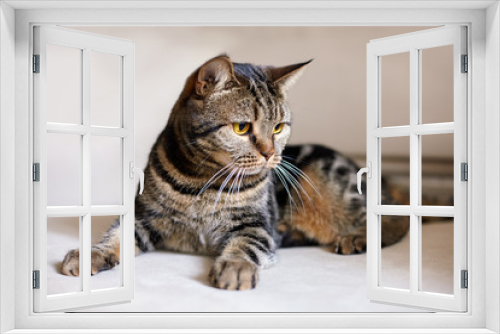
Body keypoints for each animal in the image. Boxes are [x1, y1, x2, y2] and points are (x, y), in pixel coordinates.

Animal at [60, 54, 408, 290]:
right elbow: (114, 236)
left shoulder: (256, 225)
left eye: (278, 127)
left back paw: (356, 238)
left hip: (328, 186)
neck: (202, 181)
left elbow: (244, 245)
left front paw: (235, 267)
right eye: (241, 128)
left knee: (391, 217)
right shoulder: (145, 216)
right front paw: (90, 254)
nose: (270, 154)